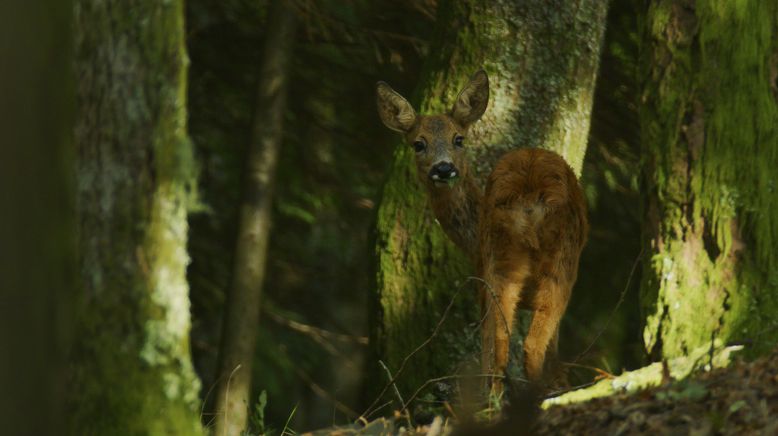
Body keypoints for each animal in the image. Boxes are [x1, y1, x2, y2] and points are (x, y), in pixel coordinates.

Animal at [372, 70, 584, 390]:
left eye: (458, 139)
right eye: (418, 144)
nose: (443, 168)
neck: (470, 240)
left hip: (511, 266)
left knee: (506, 345)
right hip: (550, 265)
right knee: (519, 345)